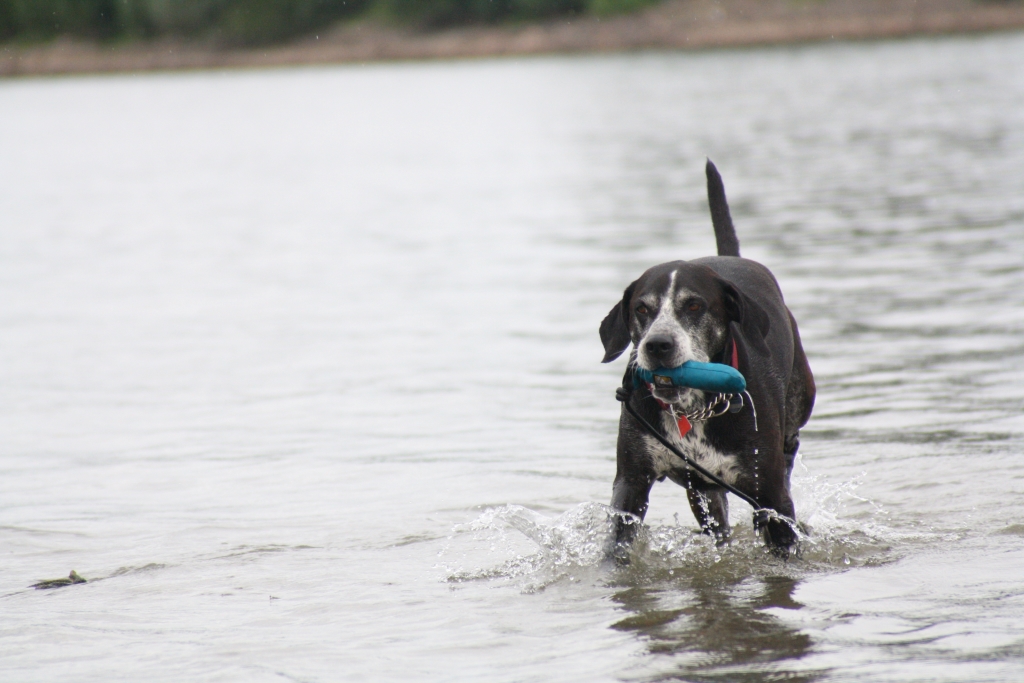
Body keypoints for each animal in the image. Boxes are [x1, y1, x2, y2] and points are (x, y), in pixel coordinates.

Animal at [599, 160, 815, 556]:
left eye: (694, 305)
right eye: (641, 308)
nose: (657, 345)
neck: (692, 409)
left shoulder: (773, 496)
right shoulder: (631, 483)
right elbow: (617, 543)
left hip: (797, 408)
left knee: (790, 449)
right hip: (702, 493)